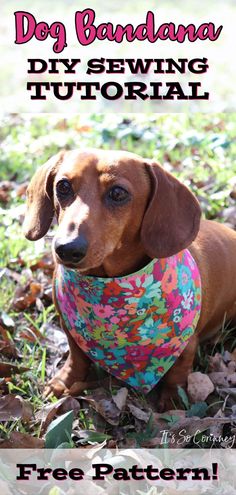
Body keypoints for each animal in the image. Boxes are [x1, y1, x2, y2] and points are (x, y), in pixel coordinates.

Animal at [23, 150, 236, 410]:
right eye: (63, 186)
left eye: (118, 193)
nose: (67, 248)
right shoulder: (70, 328)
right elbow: (77, 356)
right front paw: (65, 381)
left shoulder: (185, 345)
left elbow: (178, 372)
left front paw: (173, 400)